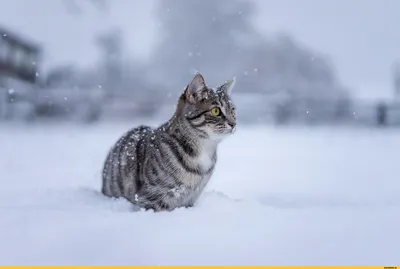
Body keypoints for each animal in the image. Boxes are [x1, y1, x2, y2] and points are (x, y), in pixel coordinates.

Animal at [101, 73, 236, 211]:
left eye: (232, 110)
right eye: (216, 111)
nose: (233, 123)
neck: (204, 148)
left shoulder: (191, 198)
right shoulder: (152, 197)